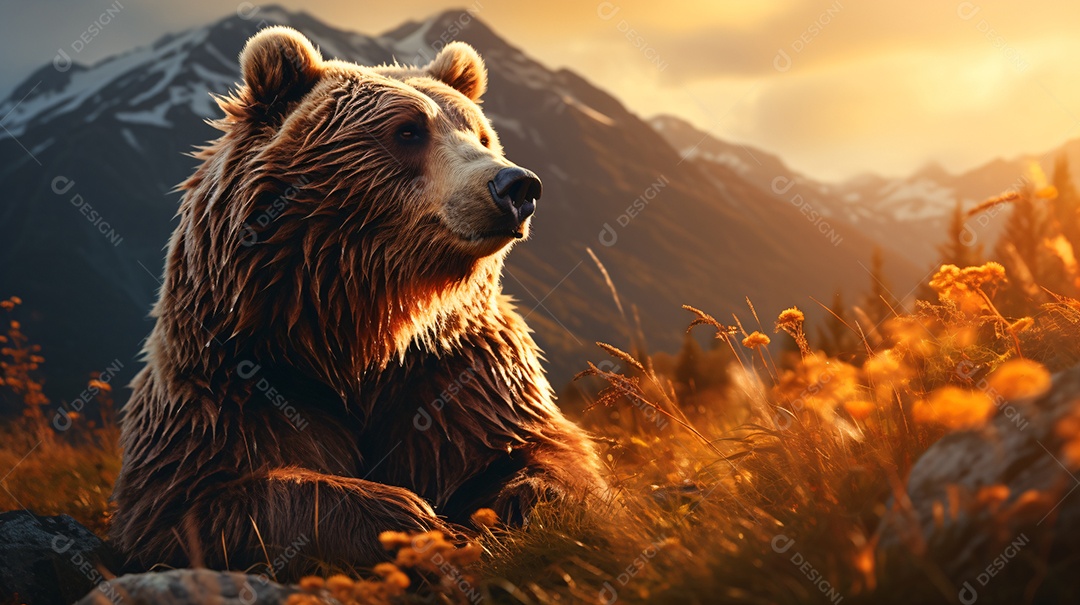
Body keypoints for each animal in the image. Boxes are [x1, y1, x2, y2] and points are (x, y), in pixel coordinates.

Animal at [109, 26, 606, 579]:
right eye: (408, 131)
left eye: (480, 135)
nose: (516, 185)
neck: (359, 330)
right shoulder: (230, 383)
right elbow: (191, 503)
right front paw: (415, 520)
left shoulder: (459, 370)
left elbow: (545, 446)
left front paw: (524, 504)